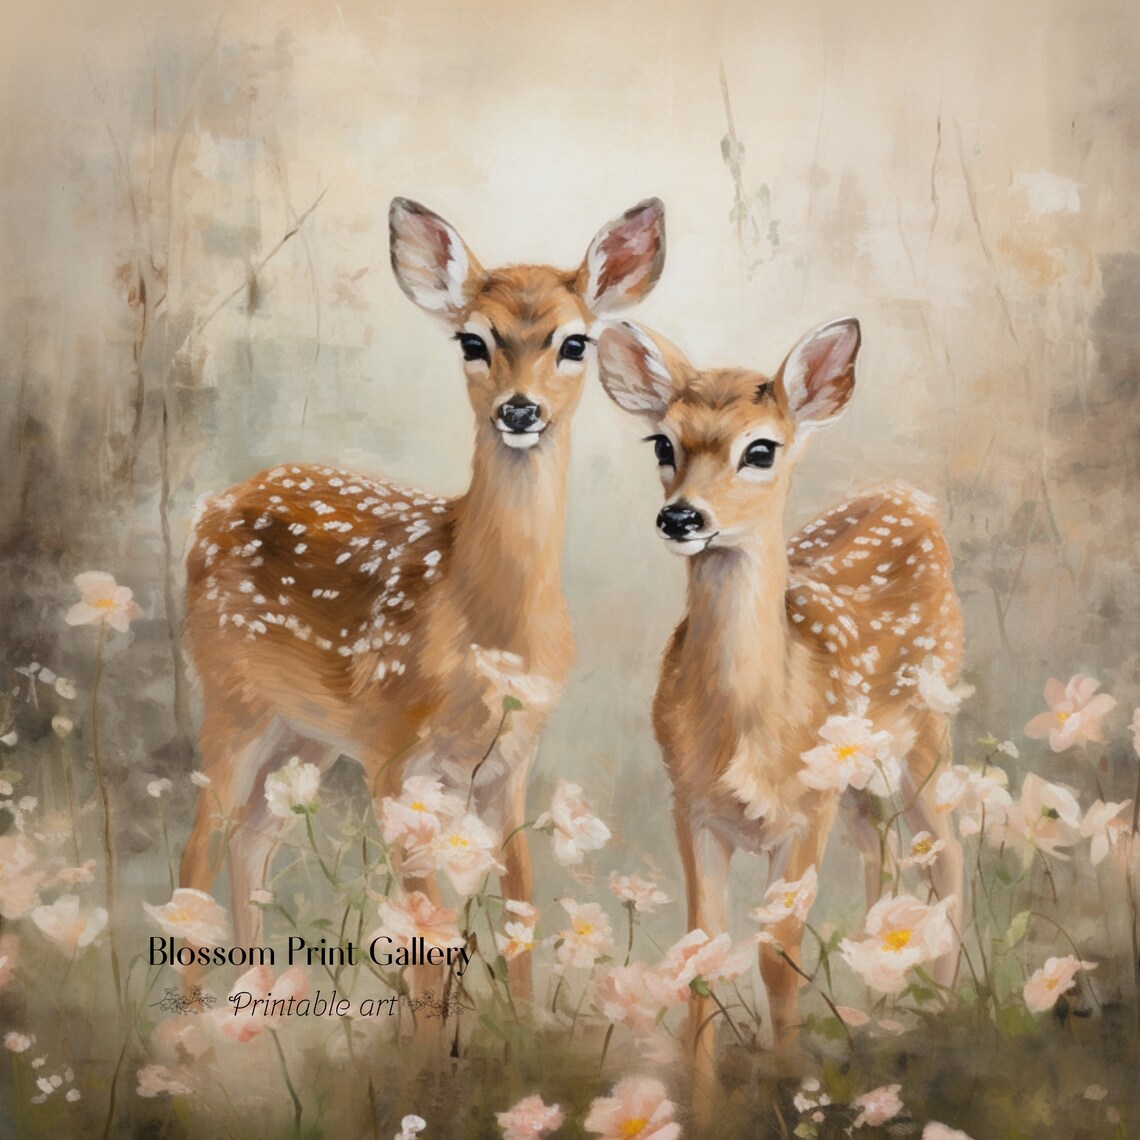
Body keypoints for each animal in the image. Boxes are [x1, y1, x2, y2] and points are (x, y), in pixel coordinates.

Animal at [178, 198, 666, 984]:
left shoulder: (509, 765)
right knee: (198, 855)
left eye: (575, 343)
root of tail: (210, 507)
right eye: (472, 340)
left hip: (302, 731)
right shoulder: (394, 756)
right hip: (230, 696)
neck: (484, 629)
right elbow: (426, 946)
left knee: (251, 841)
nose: (520, 411)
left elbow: (521, 914)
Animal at [596, 317, 965, 1082]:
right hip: (856, 776)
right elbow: (699, 955)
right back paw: (877, 1010)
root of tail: (911, 497)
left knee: (946, 853)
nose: (681, 517)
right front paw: (699, 1092)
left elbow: (777, 958)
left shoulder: (801, 813)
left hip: (927, 730)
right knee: (881, 856)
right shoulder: (692, 804)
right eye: (663, 443)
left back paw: (943, 1014)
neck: (746, 725)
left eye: (760, 448)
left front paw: (789, 1077)